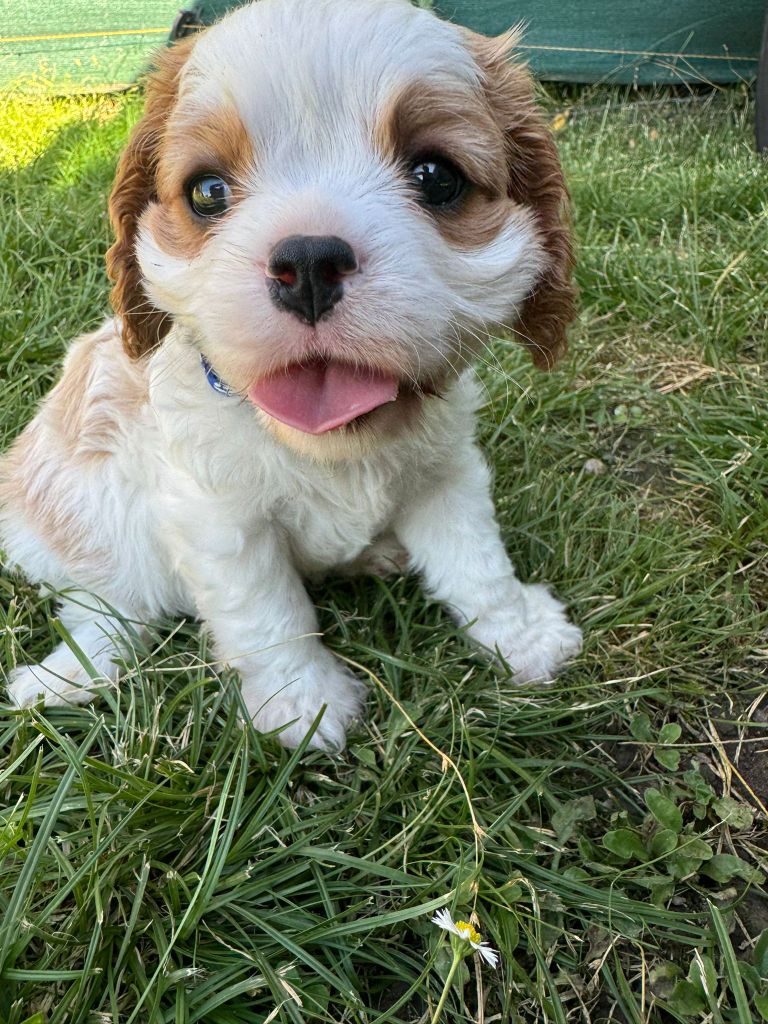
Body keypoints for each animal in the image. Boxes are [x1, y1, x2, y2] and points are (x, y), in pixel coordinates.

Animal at [0, 0, 582, 749]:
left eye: (436, 177)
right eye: (208, 191)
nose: (307, 263)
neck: (327, 448)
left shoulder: (447, 475)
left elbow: (477, 562)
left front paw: (521, 635)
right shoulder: (218, 519)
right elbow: (268, 613)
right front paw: (305, 704)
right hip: (75, 520)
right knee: (108, 609)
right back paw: (66, 677)